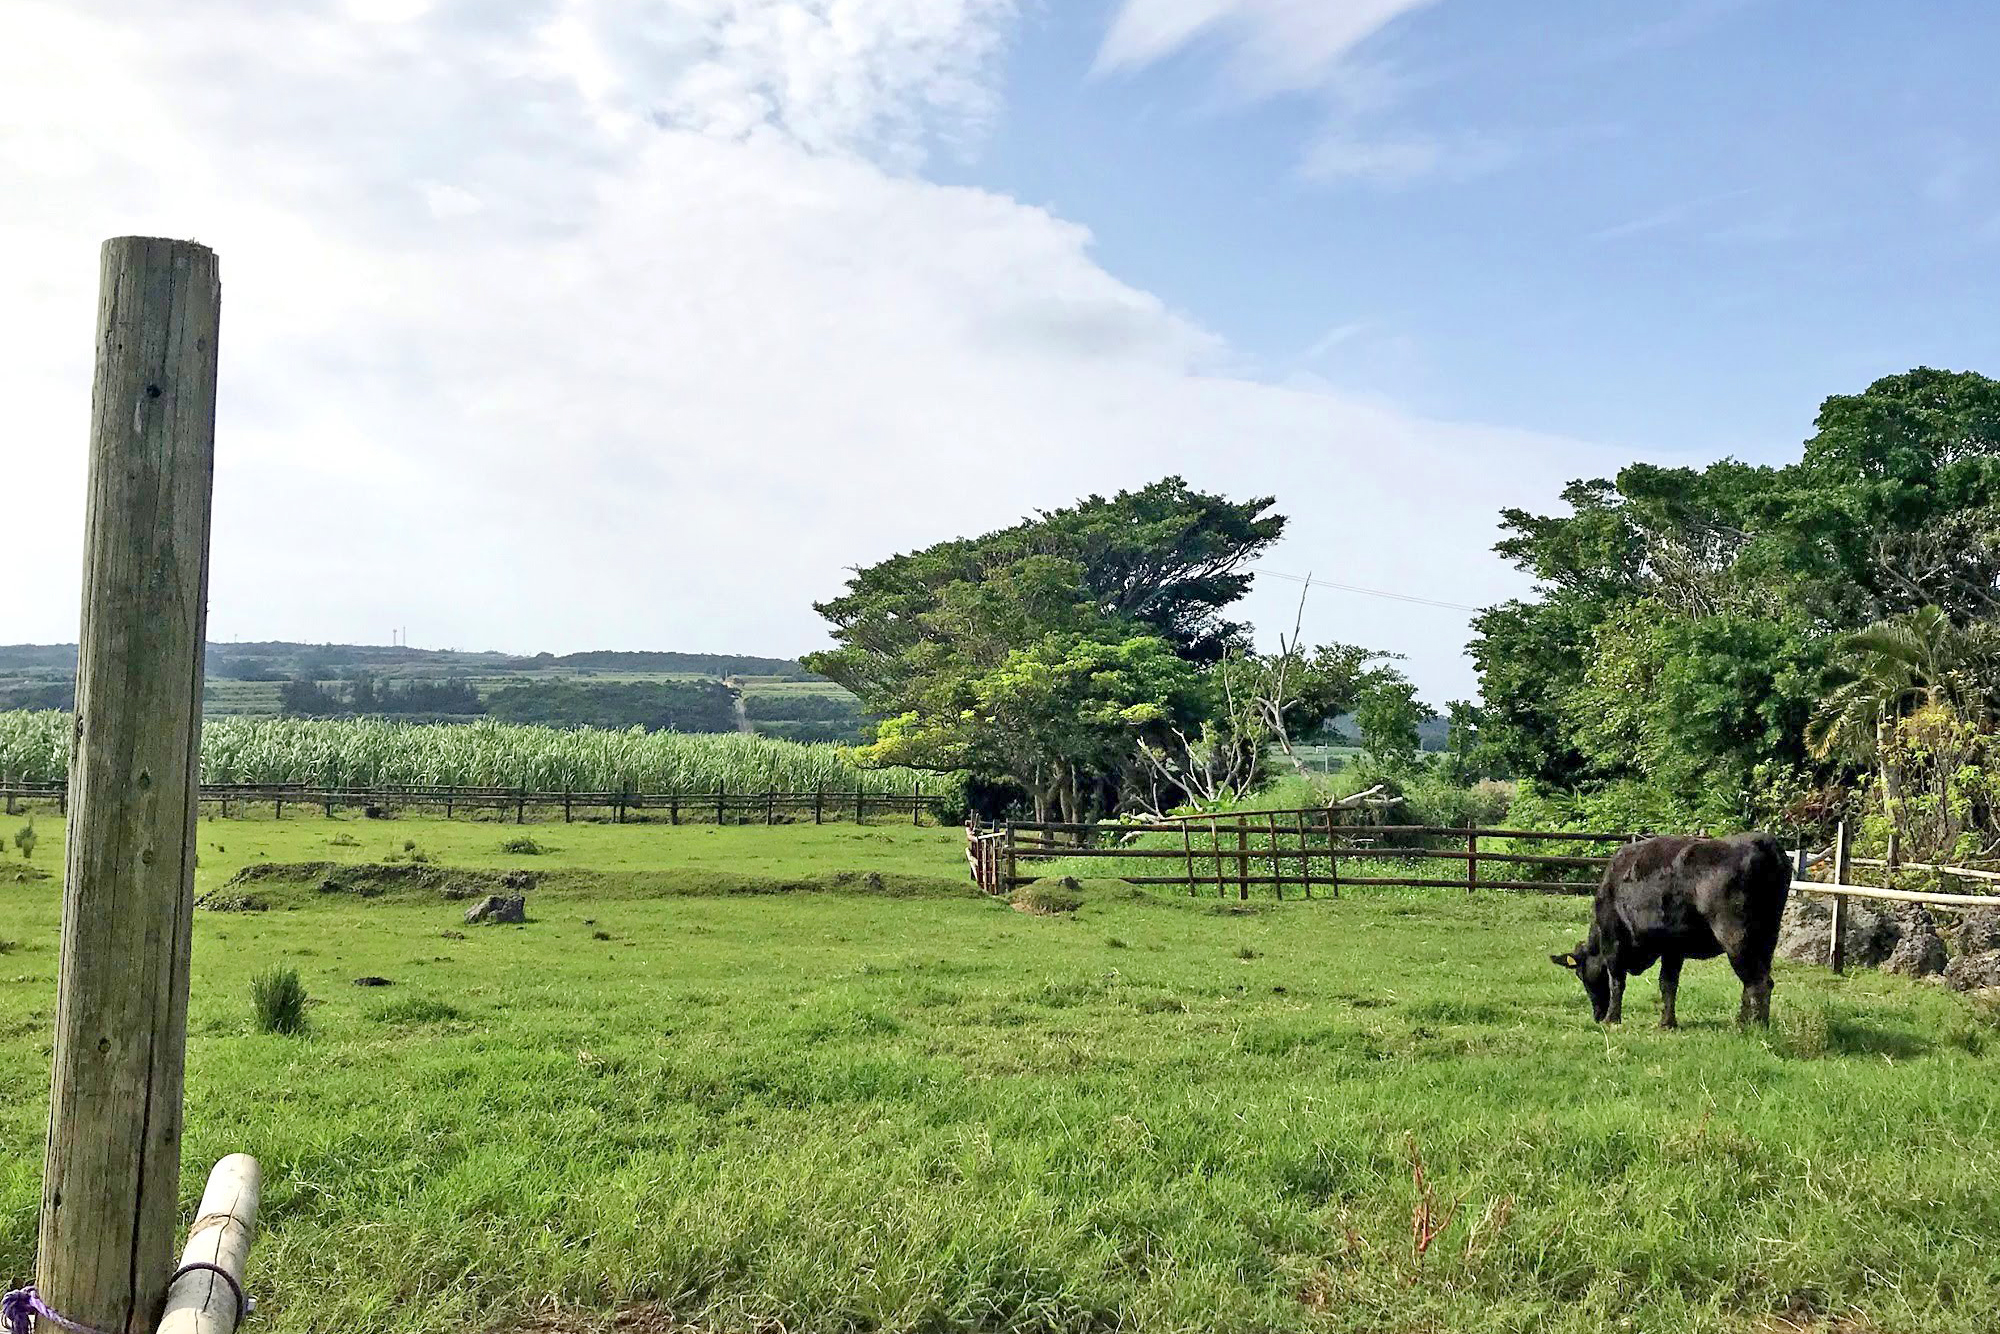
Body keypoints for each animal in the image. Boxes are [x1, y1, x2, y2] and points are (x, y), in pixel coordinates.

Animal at [1552, 836, 1792, 1032]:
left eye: (1580, 974)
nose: (1597, 1015)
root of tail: (1762, 841)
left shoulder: (1613, 941)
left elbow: (1617, 981)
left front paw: (1612, 1020)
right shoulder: (1673, 947)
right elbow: (1668, 983)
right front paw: (1667, 1023)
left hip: (1735, 936)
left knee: (1759, 982)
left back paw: (1754, 1027)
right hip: (1768, 935)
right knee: (1753, 981)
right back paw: (1745, 1021)